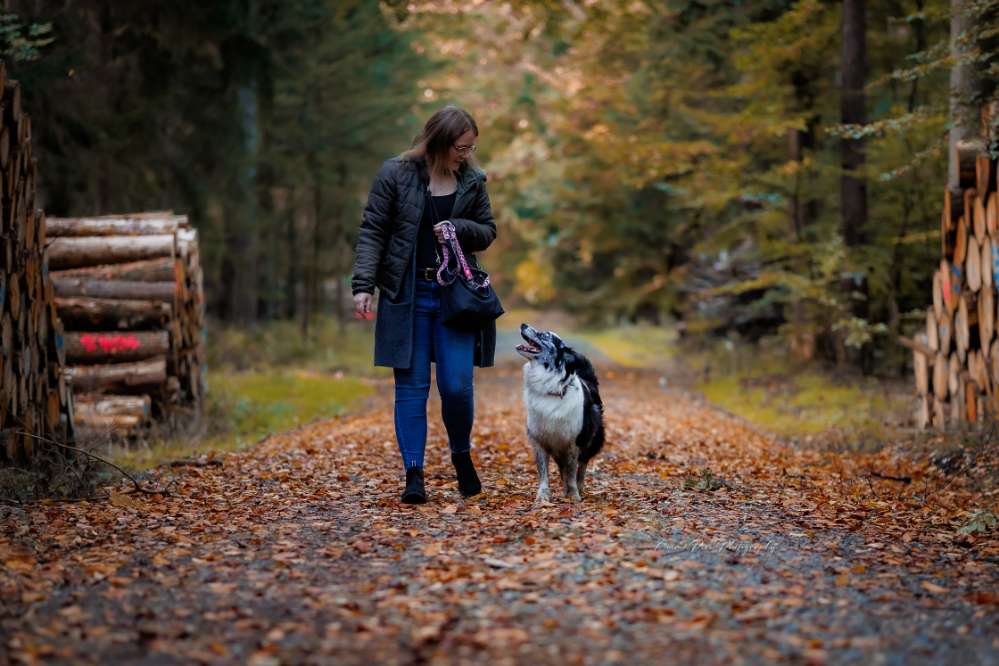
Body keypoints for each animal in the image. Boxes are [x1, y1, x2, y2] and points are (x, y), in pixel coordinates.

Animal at [520, 322, 604, 504]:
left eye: (545, 335)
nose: (523, 324)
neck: (549, 387)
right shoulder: (539, 440)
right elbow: (543, 473)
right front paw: (543, 496)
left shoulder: (574, 442)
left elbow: (572, 471)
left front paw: (573, 495)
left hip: (591, 439)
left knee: (582, 465)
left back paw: (578, 488)